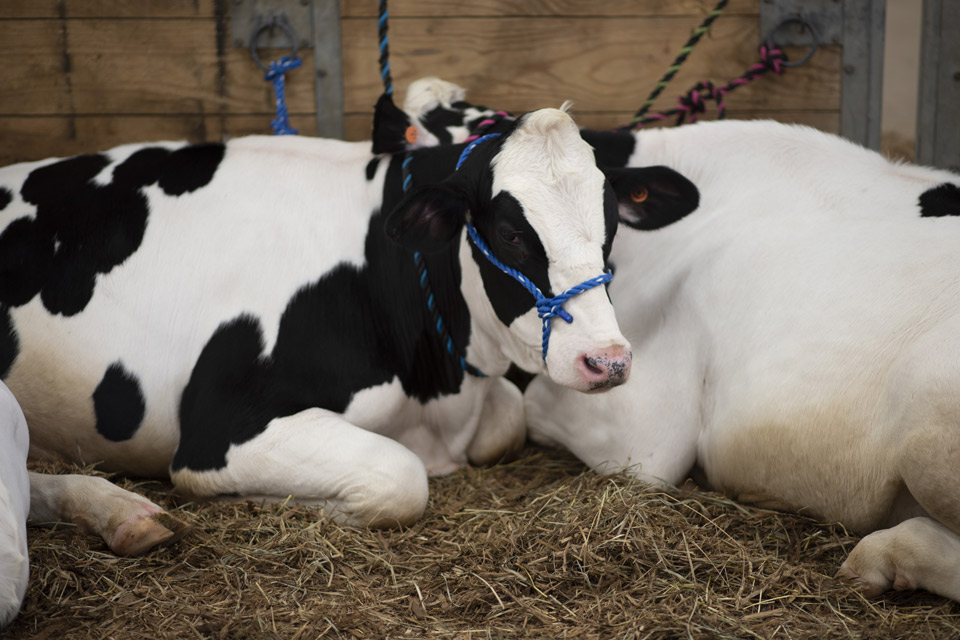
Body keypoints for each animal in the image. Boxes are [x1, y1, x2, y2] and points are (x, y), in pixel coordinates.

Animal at [0, 106, 700, 580]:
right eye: (508, 230)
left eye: (611, 223)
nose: (607, 360)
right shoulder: (219, 426)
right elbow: (398, 476)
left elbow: (505, 417)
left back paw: (124, 515)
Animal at [388, 77, 960, 604]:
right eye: (510, 234)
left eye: (612, 224)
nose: (606, 362)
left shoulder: (649, 436)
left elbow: (530, 403)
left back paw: (884, 553)